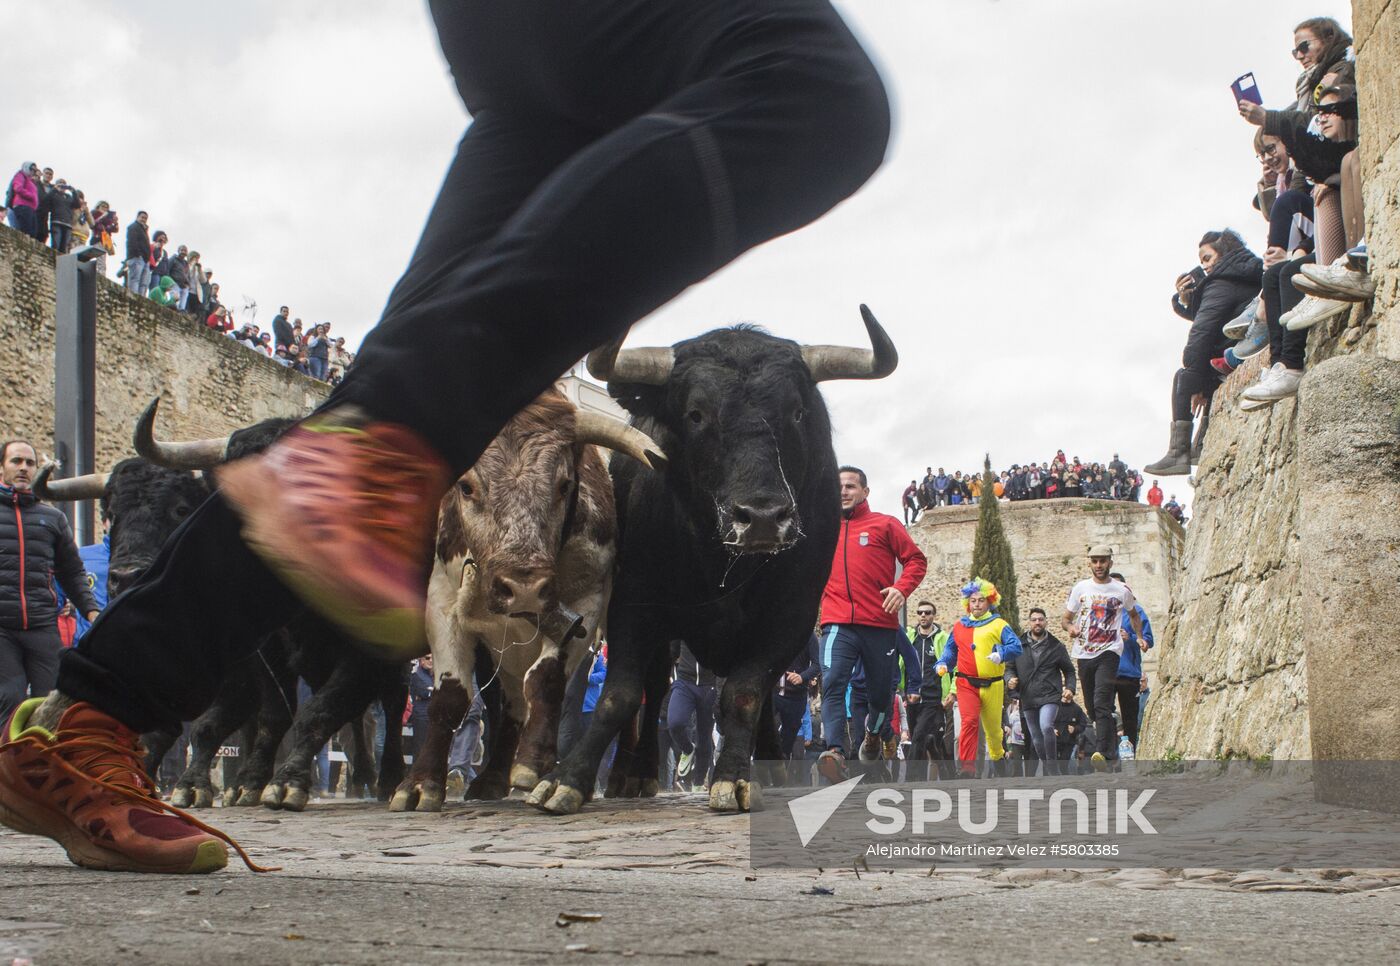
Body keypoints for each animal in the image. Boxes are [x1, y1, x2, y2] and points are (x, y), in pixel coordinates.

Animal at [386, 386, 663, 806]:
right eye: (466, 486)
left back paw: (628, 777)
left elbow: (546, 679)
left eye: (565, 485)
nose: (524, 589)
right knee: (512, 701)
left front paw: (534, 762)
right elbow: (451, 697)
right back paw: (491, 777)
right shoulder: (444, 606)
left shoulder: (585, 605)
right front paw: (420, 783)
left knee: (647, 688)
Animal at [526, 305, 896, 806]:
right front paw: (568, 778)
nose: (763, 518)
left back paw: (769, 766)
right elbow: (620, 693)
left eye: (797, 412)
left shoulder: (792, 614)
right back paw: (632, 775)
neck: (722, 561)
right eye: (696, 414)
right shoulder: (634, 602)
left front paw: (735, 775)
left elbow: (745, 692)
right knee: (654, 690)